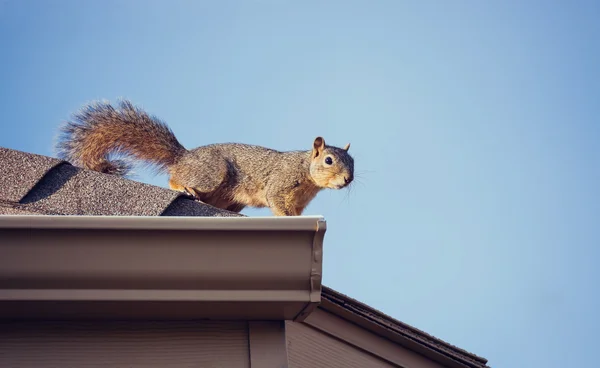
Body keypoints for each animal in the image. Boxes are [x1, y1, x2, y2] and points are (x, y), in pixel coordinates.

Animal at [54, 99, 354, 217]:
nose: (348, 179)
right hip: (211, 173)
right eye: (328, 160)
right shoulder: (280, 183)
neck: (306, 173)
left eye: (353, 163)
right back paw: (185, 188)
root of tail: (184, 157)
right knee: (174, 178)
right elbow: (277, 202)